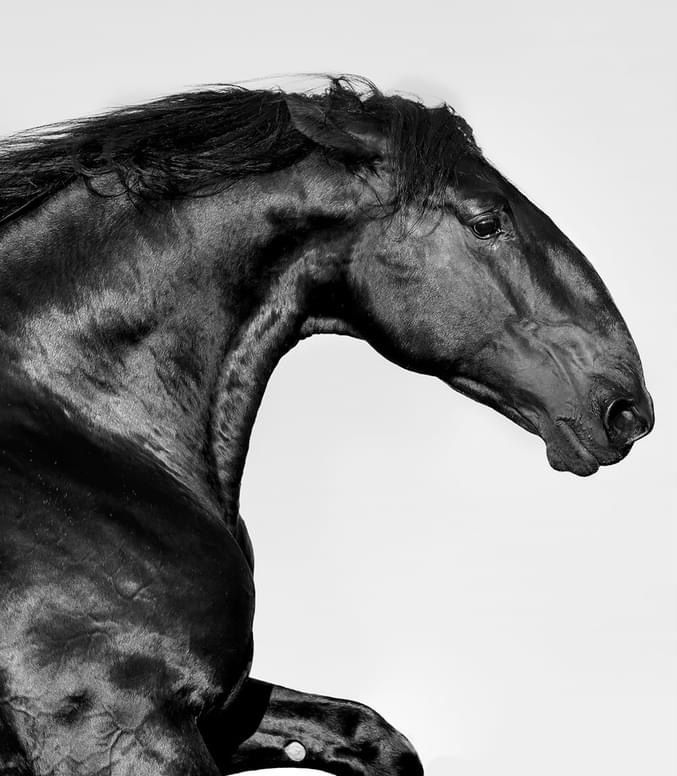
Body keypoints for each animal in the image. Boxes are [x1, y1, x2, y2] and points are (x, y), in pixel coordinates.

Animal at [0, 77, 653, 775]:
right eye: (486, 222)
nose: (628, 408)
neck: (87, 429)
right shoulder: (121, 729)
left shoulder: (222, 714)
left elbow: (371, 734)